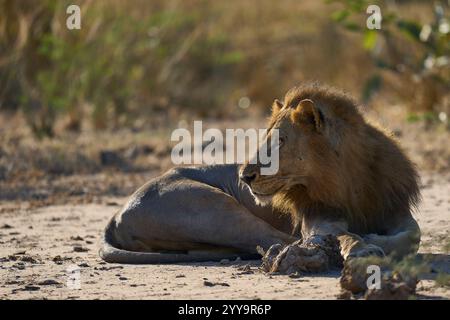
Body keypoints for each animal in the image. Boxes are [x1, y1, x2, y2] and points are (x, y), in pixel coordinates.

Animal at [99, 84, 422, 264]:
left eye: (280, 141)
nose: (244, 177)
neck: (346, 180)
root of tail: (116, 213)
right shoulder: (318, 221)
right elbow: (341, 234)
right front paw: (362, 246)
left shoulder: (396, 211)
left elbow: (413, 235)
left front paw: (375, 240)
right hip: (212, 208)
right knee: (280, 240)